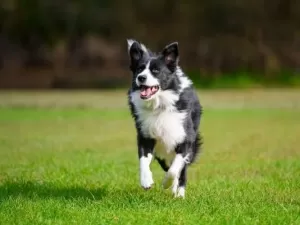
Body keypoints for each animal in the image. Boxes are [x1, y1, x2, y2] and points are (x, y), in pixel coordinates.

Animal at [125, 39, 203, 198]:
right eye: (139, 69)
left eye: (155, 71)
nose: (141, 77)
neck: (158, 105)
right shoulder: (145, 135)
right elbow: (143, 160)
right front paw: (146, 181)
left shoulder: (185, 138)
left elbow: (175, 169)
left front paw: (167, 184)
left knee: (181, 171)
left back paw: (179, 194)